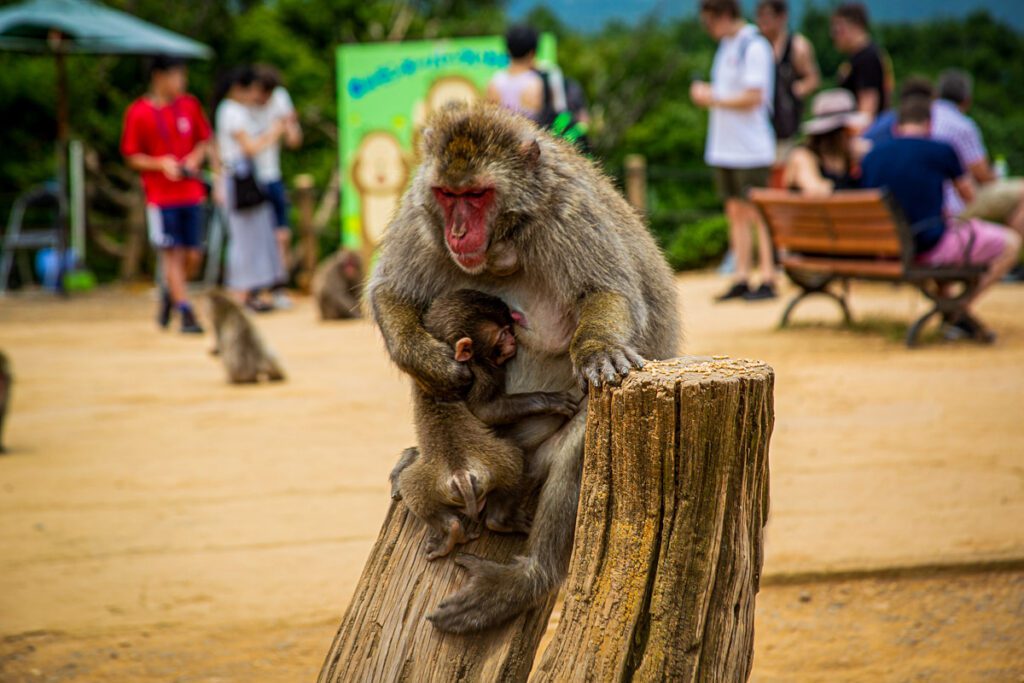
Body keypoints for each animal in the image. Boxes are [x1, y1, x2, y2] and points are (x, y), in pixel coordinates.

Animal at [389, 288, 581, 561]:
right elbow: (486, 411)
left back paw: (451, 531)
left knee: (412, 488)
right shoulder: (482, 371)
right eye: (502, 334)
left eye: (509, 330)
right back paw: (499, 520)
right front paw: (550, 401)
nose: (513, 340)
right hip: (496, 463)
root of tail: (460, 474)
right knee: (514, 457)